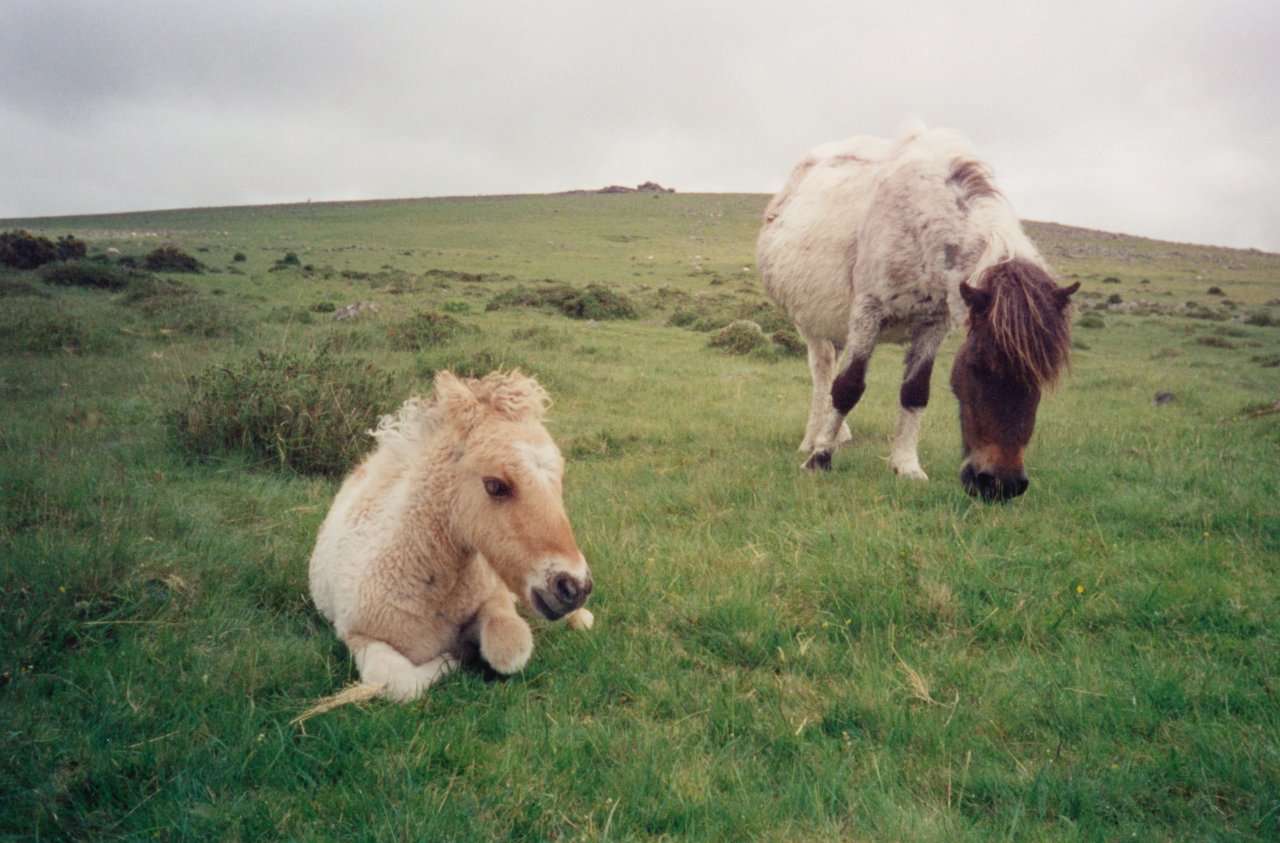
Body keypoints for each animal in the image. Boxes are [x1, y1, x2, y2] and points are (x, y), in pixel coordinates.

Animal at [308, 370, 593, 702]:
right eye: (495, 485)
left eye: (560, 479)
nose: (574, 587)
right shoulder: (358, 635)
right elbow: (400, 683)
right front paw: (455, 657)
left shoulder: (495, 600)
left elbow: (509, 648)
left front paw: (467, 648)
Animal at [757, 124, 1078, 500]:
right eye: (978, 366)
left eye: (1043, 376)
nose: (1002, 484)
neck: (921, 219)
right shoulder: (868, 311)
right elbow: (848, 386)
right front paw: (819, 459)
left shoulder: (934, 323)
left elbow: (915, 392)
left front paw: (906, 465)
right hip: (811, 324)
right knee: (823, 373)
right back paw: (813, 439)